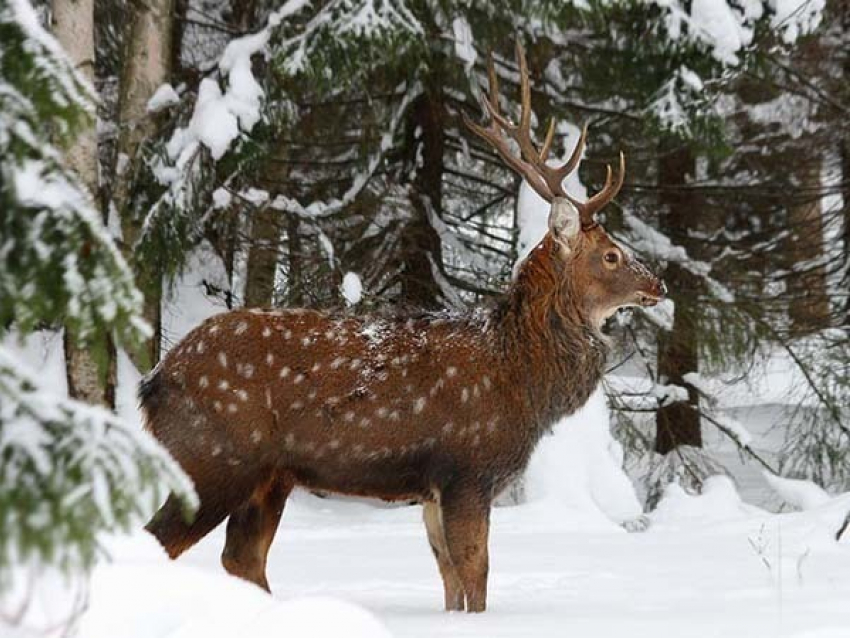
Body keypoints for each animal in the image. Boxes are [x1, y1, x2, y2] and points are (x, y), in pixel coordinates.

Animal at [142, 45, 664, 616]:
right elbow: (477, 576)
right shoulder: (467, 468)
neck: (520, 380)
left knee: (241, 558)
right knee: (159, 539)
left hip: (269, 476)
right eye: (612, 254)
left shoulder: (432, 488)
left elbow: (451, 581)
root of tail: (153, 382)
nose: (658, 284)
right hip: (215, 455)